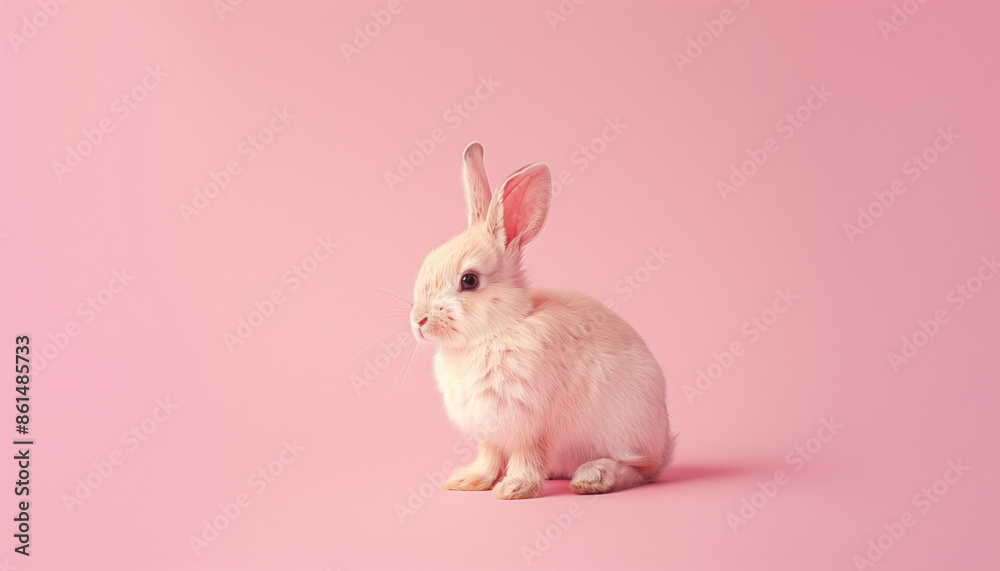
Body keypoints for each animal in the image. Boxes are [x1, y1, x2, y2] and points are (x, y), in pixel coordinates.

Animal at [410, 141, 673, 500]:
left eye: (469, 280)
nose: (418, 320)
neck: (497, 331)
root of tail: (665, 446)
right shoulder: (490, 432)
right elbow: (488, 457)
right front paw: (468, 481)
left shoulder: (530, 425)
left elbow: (527, 455)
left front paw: (514, 488)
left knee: (643, 471)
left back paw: (594, 476)